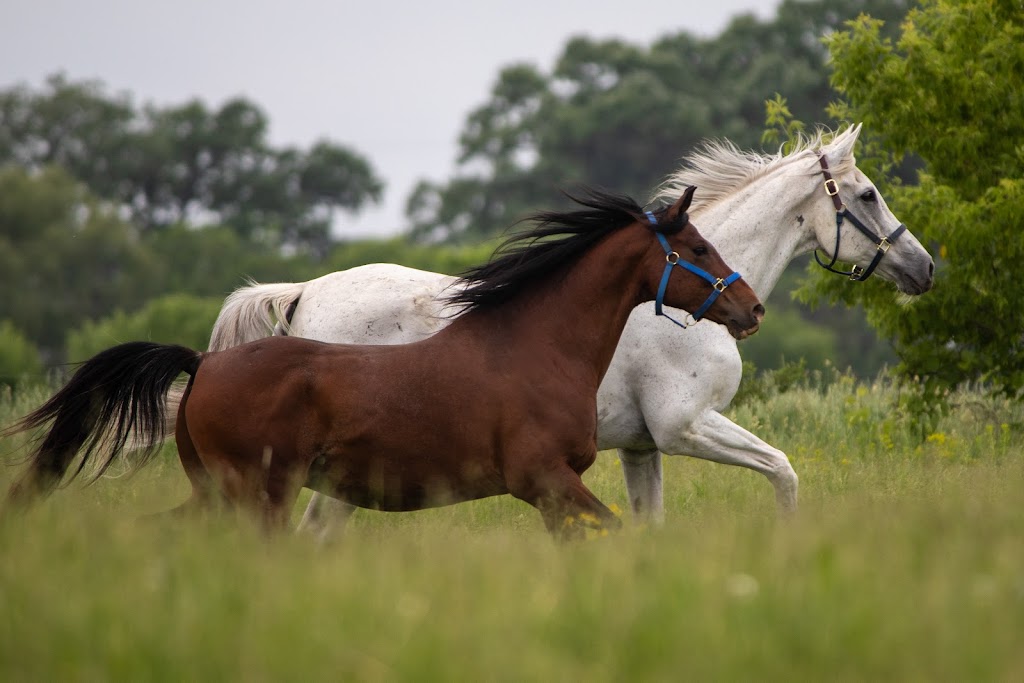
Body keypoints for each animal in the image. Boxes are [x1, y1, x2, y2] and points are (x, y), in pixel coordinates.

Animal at [6, 188, 761, 540]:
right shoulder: (543, 479)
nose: (750, 307)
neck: (536, 348)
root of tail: (203, 364)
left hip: (218, 491)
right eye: (696, 245)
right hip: (259, 493)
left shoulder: (557, 488)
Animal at [195, 125, 933, 536]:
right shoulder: (685, 427)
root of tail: (301, 295)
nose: (924, 267)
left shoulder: (642, 449)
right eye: (867, 195)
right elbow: (783, 471)